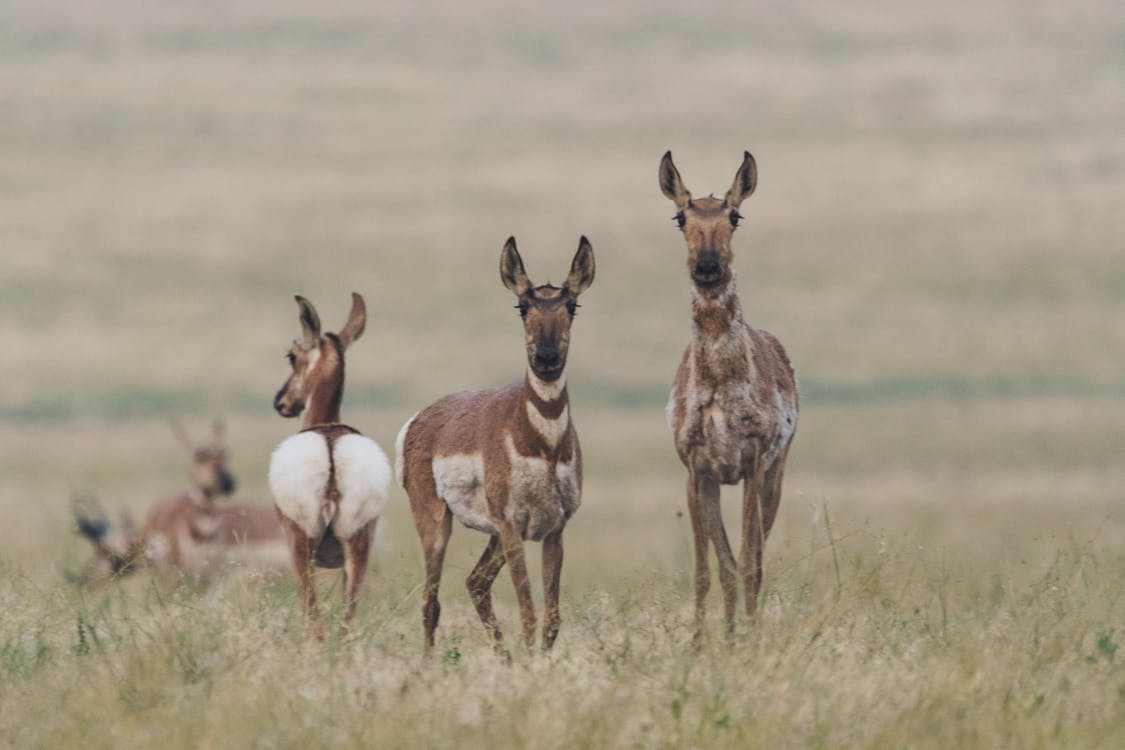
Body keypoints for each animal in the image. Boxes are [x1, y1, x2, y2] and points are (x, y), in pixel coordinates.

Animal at [267, 292, 391, 634]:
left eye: (292, 356)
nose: (281, 402)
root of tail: (331, 451)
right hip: (358, 549)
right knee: (348, 618)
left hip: (301, 548)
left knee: (314, 618)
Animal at [398, 237, 598, 652]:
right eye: (522, 305)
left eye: (572, 304)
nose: (547, 358)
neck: (542, 446)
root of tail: (422, 416)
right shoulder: (511, 526)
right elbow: (528, 614)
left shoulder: (554, 530)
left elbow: (551, 619)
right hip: (436, 523)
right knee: (431, 602)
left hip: (492, 535)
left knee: (475, 582)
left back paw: (503, 656)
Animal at [657, 150, 801, 634]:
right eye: (680, 216)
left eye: (734, 214)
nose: (707, 267)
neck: (720, 386)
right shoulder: (696, 471)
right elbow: (709, 567)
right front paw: (702, 640)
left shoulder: (752, 464)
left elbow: (751, 560)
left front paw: (750, 637)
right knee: (728, 564)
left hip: (774, 476)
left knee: (753, 556)